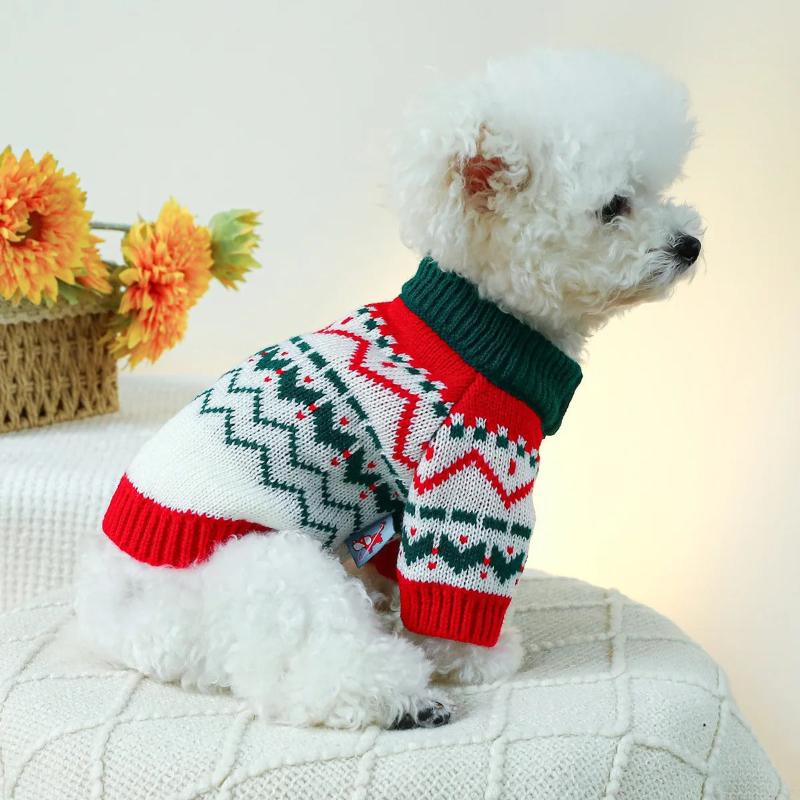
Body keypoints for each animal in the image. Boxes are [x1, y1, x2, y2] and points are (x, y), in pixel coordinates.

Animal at [73, 50, 700, 732]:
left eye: (656, 190)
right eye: (614, 207)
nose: (691, 243)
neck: (480, 323)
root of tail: (115, 617)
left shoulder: (397, 509)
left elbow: (397, 569)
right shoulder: (470, 476)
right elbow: (454, 585)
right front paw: (479, 658)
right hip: (274, 568)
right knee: (301, 673)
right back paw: (405, 698)